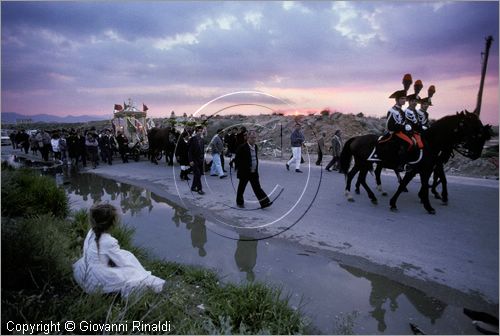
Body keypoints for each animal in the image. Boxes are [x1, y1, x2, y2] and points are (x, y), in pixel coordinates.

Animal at [340, 111, 492, 214]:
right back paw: (359, 195)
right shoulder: (422, 169)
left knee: (357, 176)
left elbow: (417, 185)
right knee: (357, 177)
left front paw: (427, 203)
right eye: (472, 125)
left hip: (364, 164)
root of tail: (356, 138)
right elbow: (415, 185)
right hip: (363, 163)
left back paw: (361, 195)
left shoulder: (422, 169)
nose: (476, 154)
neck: (430, 142)